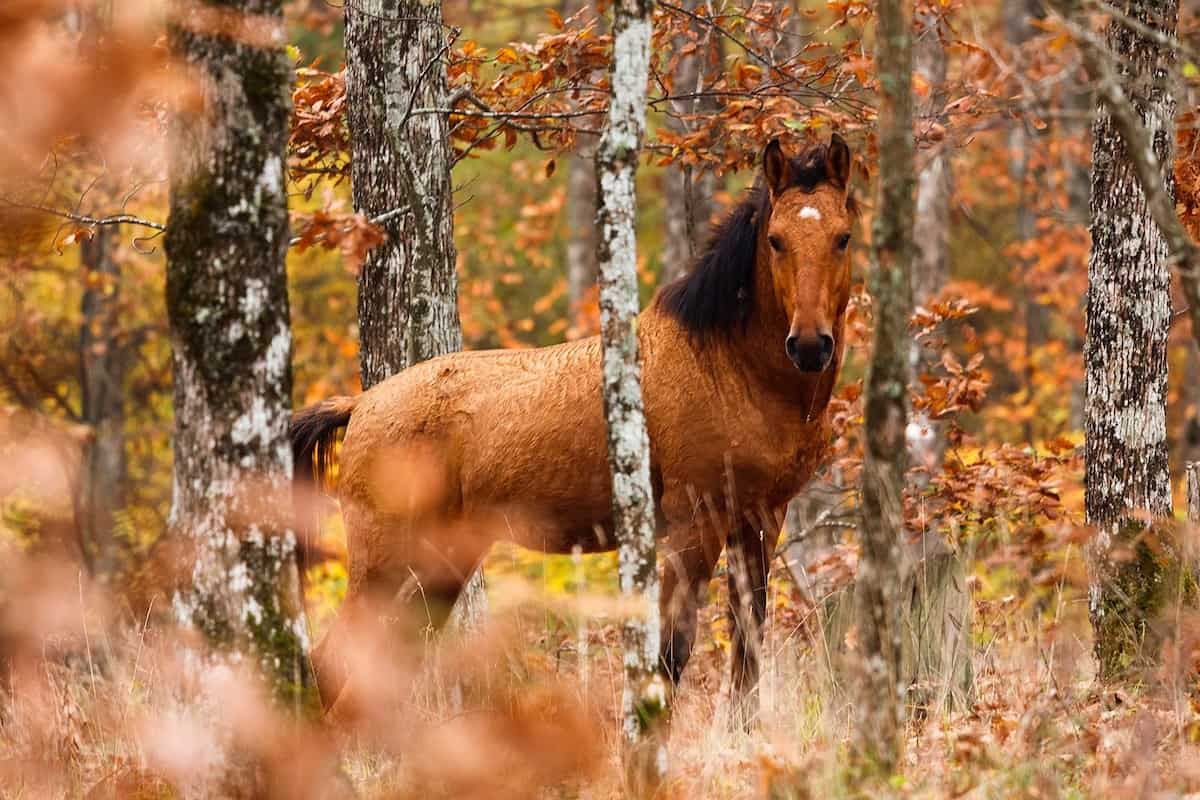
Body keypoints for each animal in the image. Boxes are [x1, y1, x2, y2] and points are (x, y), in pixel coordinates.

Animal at [291, 135, 857, 718]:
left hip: (441, 562)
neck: (725, 366)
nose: (809, 345)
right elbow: (670, 653)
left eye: (843, 237)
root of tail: (361, 404)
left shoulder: (760, 518)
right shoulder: (694, 522)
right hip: (384, 564)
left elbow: (748, 648)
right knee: (333, 663)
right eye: (775, 240)